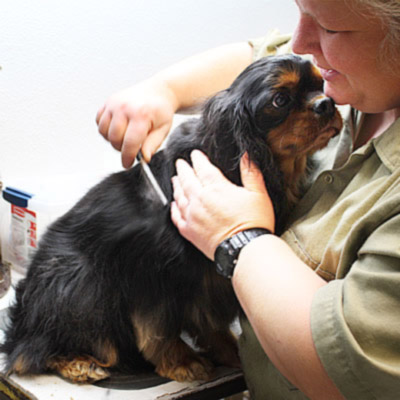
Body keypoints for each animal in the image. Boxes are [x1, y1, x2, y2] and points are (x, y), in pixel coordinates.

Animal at [1, 54, 342, 382]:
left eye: (321, 84)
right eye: (280, 100)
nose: (326, 103)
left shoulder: (208, 281)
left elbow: (208, 322)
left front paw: (227, 350)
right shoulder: (151, 275)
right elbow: (157, 329)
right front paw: (182, 361)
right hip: (79, 278)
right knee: (30, 351)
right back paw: (77, 362)